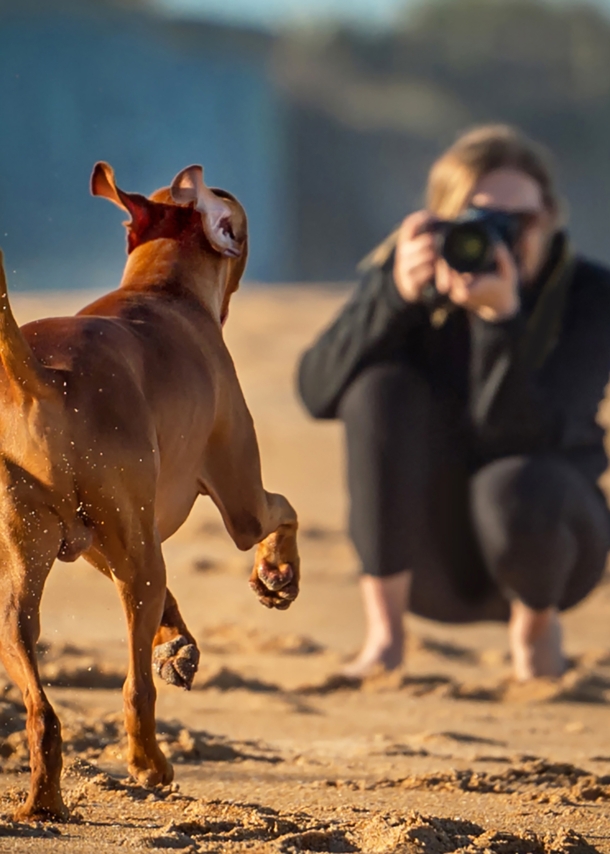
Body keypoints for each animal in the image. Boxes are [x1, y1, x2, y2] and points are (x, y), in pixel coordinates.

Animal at [0, 162, 300, 824]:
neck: (160, 290)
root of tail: (42, 377)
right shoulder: (238, 499)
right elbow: (281, 511)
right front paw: (277, 574)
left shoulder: (101, 543)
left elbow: (168, 610)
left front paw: (178, 647)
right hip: (140, 560)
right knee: (135, 688)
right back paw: (149, 765)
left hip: (27, 565)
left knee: (39, 701)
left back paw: (44, 799)